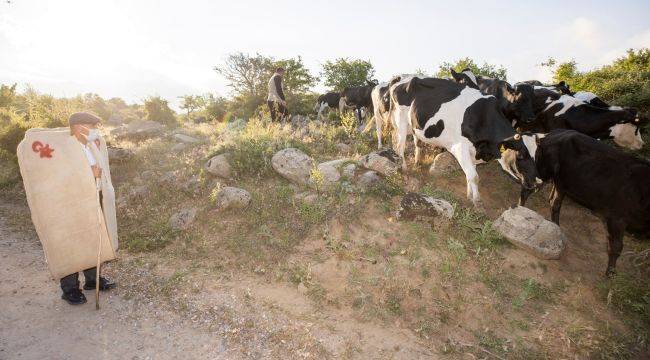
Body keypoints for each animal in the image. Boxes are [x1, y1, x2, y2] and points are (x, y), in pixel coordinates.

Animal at [388, 77, 540, 207]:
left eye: (536, 155)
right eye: (521, 156)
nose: (535, 184)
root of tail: (402, 80)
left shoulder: (474, 151)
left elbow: (469, 174)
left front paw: (469, 196)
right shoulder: (459, 147)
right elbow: (474, 176)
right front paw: (477, 201)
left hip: (413, 126)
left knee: (409, 143)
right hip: (400, 121)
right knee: (400, 146)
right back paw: (404, 168)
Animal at [520, 129, 648, 276]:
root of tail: (551, 134)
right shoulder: (617, 219)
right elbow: (616, 247)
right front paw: (610, 273)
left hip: (561, 183)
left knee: (554, 203)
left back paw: (557, 227)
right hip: (543, 172)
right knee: (527, 189)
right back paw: (520, 209)